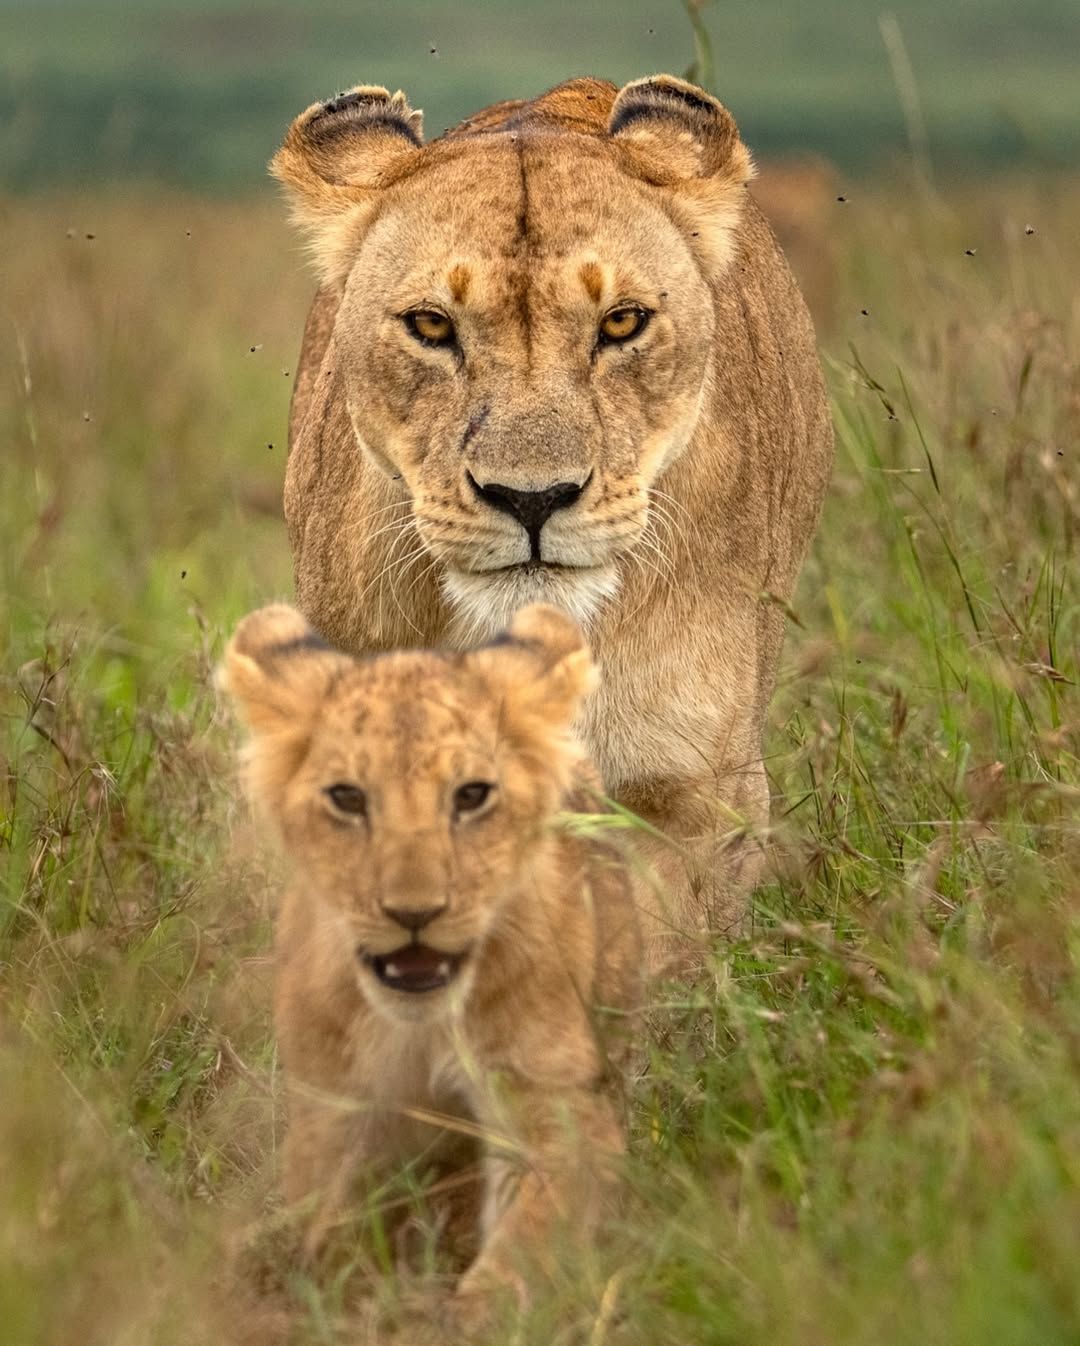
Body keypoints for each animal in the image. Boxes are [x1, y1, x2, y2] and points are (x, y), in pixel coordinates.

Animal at [220, 600, 643, 1324]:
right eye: (348, 798)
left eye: (471, 796)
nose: (413, 912)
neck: (422, 1024)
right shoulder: (331, 1107)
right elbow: (316, 1219)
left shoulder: (561, 1109)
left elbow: (530, 1238)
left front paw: (467, 1316)